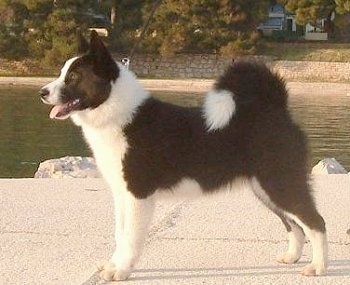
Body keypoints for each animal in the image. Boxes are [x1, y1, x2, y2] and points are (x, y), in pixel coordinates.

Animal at [39, 31, 326, 280]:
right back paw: (291, 257)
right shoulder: (121, 195)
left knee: (315, 223)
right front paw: (114, 264)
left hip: (280, 184)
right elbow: (120, 234)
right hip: (266, 189)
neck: (119, 115)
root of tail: (277, 109)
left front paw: (121, 271)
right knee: (295, 225)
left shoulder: (137, 196)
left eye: (74, 76)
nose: (42, 92)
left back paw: (318, 267)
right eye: (62, 73)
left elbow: (131, 237)